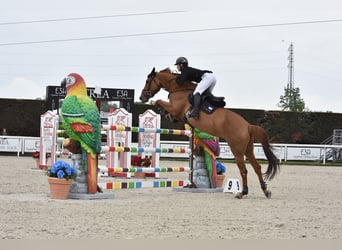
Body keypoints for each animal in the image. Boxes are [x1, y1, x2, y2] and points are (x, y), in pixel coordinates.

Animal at [140, 67, 280, 198]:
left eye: (147, 81)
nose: (142, 97)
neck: (178, 89)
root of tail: (248, 126)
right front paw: (167, 115)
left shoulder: (175, 108)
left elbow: (159, 101)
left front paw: (162, 110)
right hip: (248, 149)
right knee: (257, 167)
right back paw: (265, 191)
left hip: (237, 149)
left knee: (244, 170)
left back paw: (242, 193)